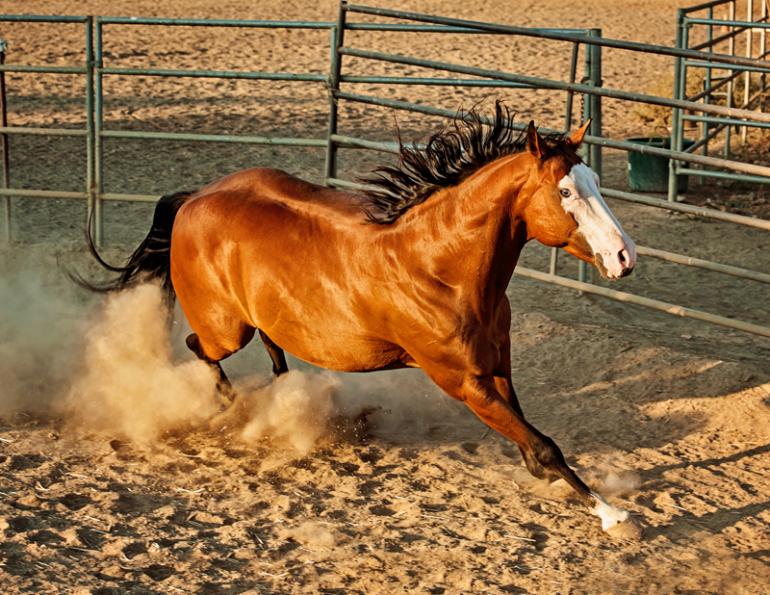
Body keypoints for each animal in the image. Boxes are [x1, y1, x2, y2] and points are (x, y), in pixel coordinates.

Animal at [79, 103, 637, 530]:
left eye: (594, 180)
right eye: (565, 192)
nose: (624, 257)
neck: (440, 269)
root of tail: (194, 197)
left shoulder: (497, 367)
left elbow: (531, 439)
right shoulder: (463, 382)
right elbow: (544, 446)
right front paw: (612, 515)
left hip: (257, 320)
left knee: (273, 346)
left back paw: (284, 396)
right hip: (226, 330)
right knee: (199, 348)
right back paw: (235, 407)